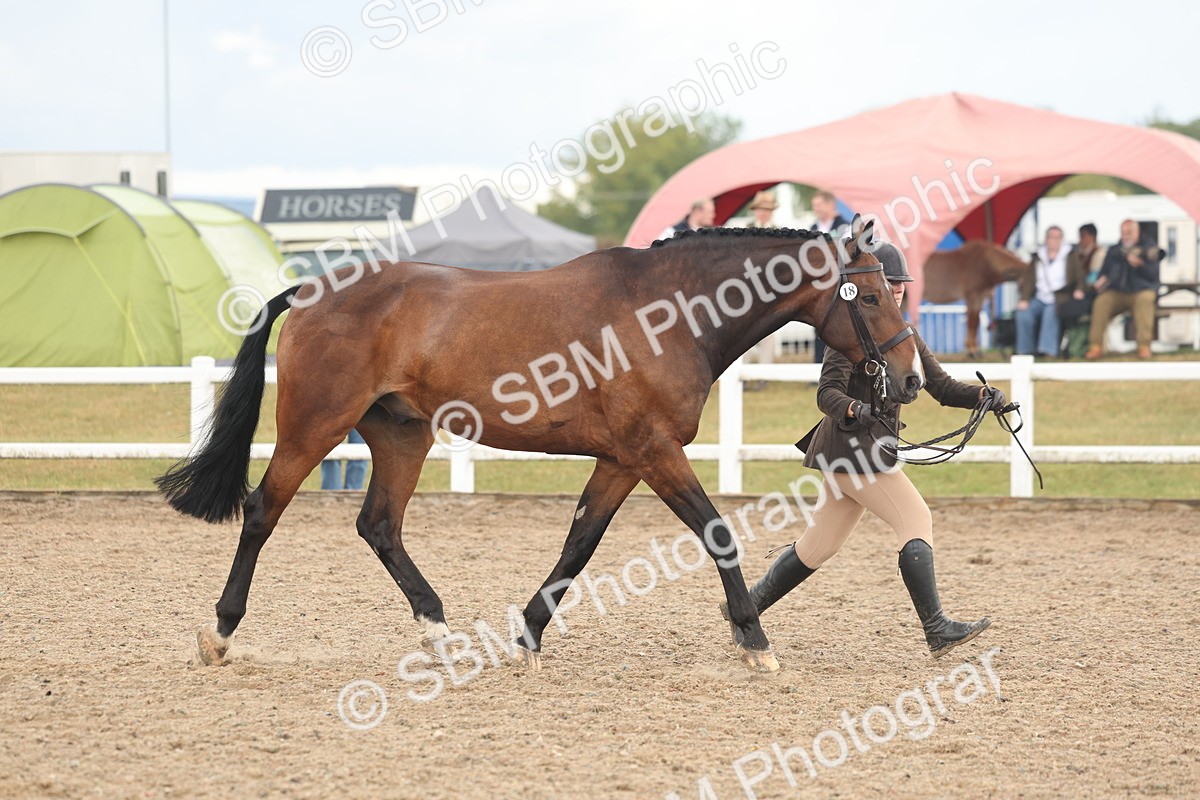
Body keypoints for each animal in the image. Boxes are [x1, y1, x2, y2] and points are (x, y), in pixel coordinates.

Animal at [156, 216, 924, 675]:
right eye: (873, 298)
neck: (668, 313)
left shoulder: (622, 459)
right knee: (263, 511)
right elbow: (717, 534)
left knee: (379, 525)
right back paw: (221, 634)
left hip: (403, 434)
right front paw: (755, 643)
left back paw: (438, 631)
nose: (911, 379)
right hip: (313, 426)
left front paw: (527, 636)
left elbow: (578, 545)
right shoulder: (655, 453)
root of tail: (313, 289)